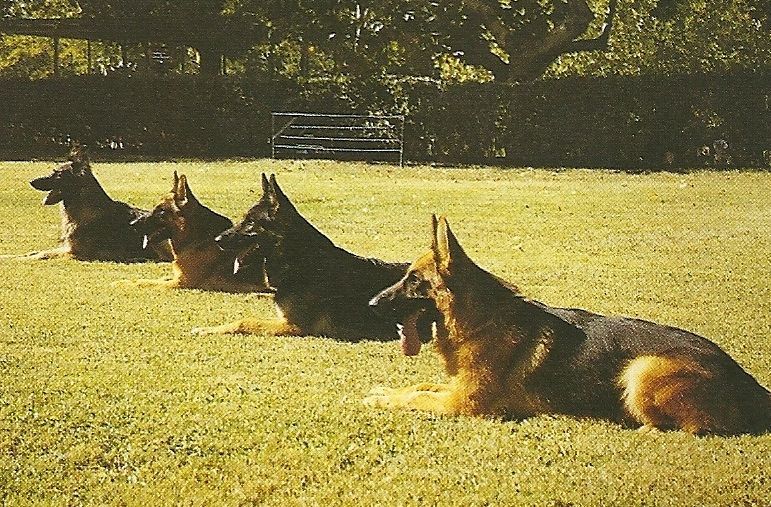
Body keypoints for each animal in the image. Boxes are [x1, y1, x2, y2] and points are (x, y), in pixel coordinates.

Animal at [24, 144, 172, 260]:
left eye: (58, 175)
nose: (31, 182)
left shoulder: (75, 252)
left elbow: (44, 254)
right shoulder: (68, 247)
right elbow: (38, 252)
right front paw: (21, 255)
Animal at [126, 173, 272, 294]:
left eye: (161, 211)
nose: (132, 224)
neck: (195, 240)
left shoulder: (181, 283)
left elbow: (145, 283)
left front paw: (126, 283)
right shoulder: (176, 278)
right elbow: (151, 279)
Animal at [191, 175, 438, 346]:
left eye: (250, 222)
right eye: (244, 219)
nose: (217, 240)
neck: (301, 264)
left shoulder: (294, 326)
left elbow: (245, 321)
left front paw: (206, 330)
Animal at [366, 215, 771, 436]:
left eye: (414, 281)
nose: (371, 305)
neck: (482, 320)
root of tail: (749, 382)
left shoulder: (463, 404)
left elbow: (417, 396)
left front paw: (383, 398)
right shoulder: (455, 388)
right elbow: (419, 386)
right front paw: (385, 390)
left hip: (642, 369)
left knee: (695, 428)